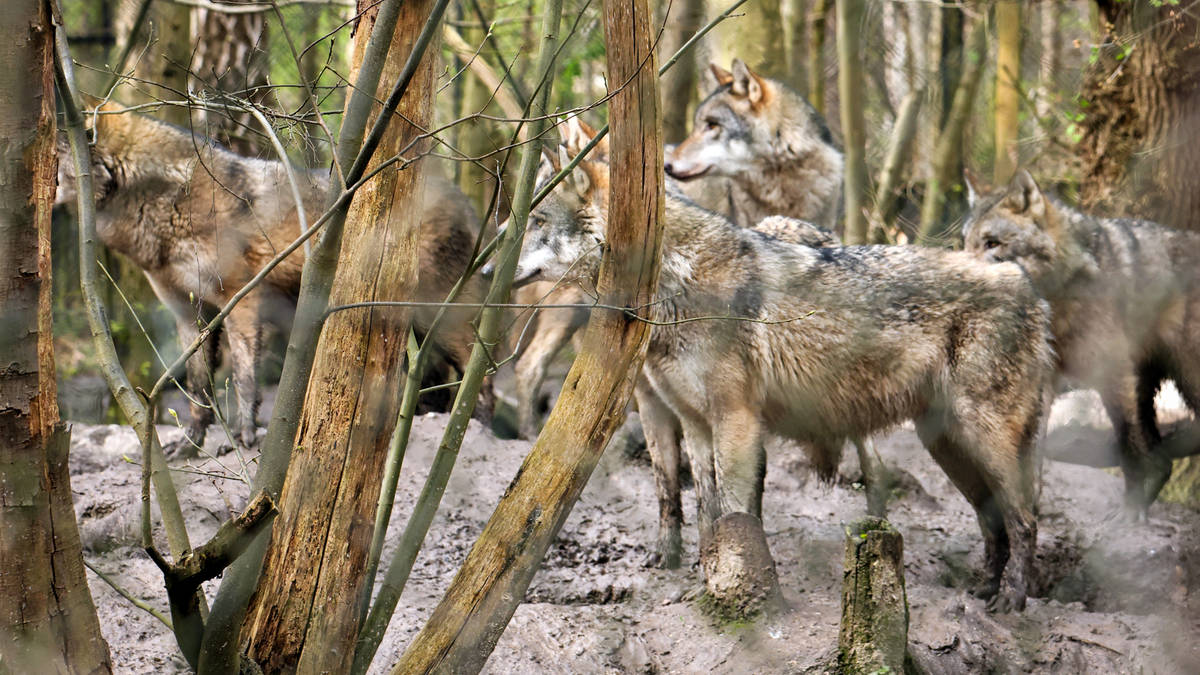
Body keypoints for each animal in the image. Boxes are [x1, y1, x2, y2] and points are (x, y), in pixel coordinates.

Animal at [57, 103, 491, 457]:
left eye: (54, 158)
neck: (168, 204)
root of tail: (467, 203)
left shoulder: (241, 302)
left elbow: (244, 379)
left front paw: (244, 436)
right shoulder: (189, 315)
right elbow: (198, 388)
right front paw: (191, 443)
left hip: (441, 317)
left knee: (478, 372)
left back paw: (473, 432)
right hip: (412, 325)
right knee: (435, 377)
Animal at [512, 147, 1054, 611]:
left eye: (537, 221)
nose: (495, 265)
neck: (673, 282)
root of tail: (1029, 288)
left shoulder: (735, 418)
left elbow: (733, 507)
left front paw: (732, 585)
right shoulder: (693, 421)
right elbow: (704, 506)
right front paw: (705, 574)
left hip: (982, 440)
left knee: (1025, 519)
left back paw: (1012, 601)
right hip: (947, 445)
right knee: (993, 521)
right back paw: (984, 589)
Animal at [963, 170, 1200, 514]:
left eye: (992, 243)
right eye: (965, 243)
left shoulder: (1113, 373)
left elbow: (1129, 449)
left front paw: (1129, 515)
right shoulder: (1045, 383)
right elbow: (1032, 456)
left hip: (1186, 379)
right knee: (1163, 461)